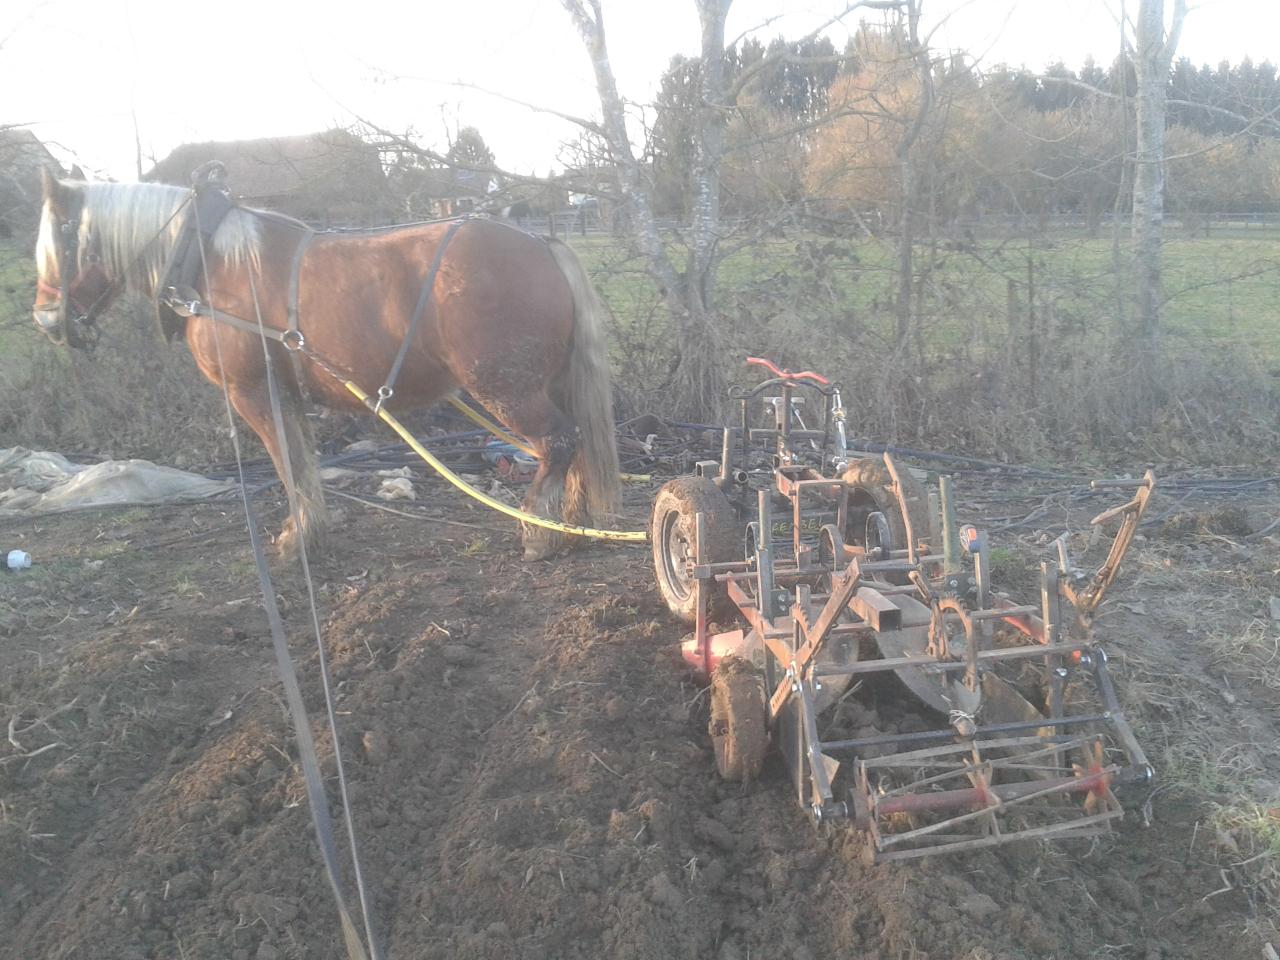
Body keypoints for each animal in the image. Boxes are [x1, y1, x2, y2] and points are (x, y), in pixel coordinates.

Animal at [32, 170, 622, 560]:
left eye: (55, 242)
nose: (44, 320)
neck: (211, 261)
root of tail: (540, 243)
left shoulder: (252, 392)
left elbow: (287, 465)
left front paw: (299, 539)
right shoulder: (286, 393)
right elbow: (302, 461)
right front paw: (310, 529)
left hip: (505, 389)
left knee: (557, 442)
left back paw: (540, 532)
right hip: (547, 382)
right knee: (576, 444)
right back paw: (574, 522)